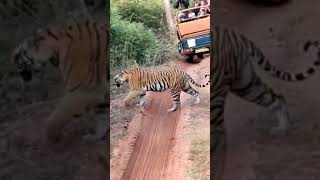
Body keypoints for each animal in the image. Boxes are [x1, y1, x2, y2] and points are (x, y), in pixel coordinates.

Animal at [212, 24, 320, 180]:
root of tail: (231, 32)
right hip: (245, 83)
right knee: (277, 98)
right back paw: (282, 129)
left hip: (224, 91)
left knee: (220, 135)